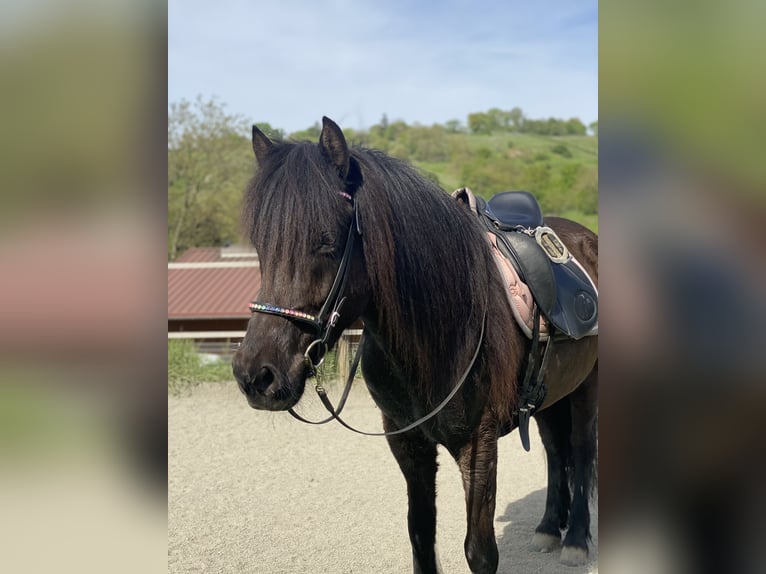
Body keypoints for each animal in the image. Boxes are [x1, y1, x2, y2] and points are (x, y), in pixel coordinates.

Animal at [232, 117, 598, 574]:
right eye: (261, 246)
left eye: (326, 242)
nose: (255, 375)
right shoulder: (406, 442)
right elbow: (421, 537)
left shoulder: (479, 444)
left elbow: (480, 551)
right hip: (551, 395)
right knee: (554, 450)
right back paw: (550, 527)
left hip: (586, 388)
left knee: (580, 452)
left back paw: (577, 539)